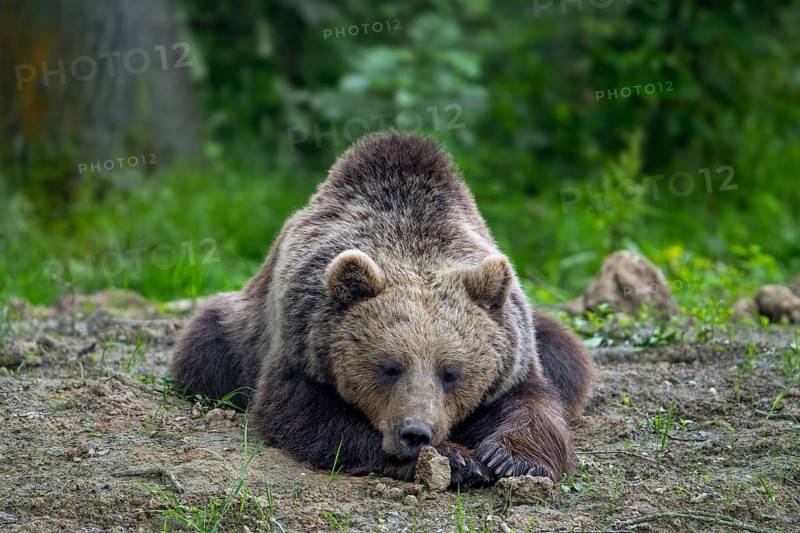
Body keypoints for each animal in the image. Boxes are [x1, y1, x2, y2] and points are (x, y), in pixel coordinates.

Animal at [170, 131, 595, 488]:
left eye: (451, 373)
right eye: (389, 367)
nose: (416, 433)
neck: (411, 238)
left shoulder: (515, 351)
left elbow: (533, 401)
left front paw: (509, 457)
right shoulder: (300, 342)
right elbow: (306, 415)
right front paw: (455, 459)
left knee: (566, 352)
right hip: (238, 328)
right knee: (204, 344)